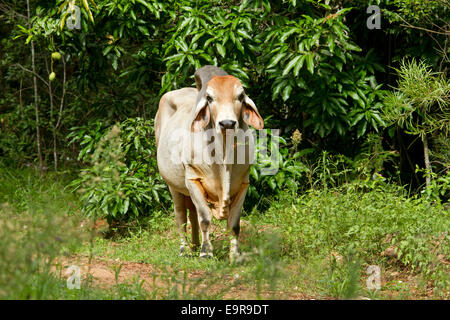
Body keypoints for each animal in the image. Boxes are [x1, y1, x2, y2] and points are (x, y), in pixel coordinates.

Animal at [156, 65, 264, 262]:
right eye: (210, 98)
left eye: (240, 96)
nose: (227, 123)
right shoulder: (192, 179)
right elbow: (205, 219)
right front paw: (206, 252)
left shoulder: (243, 184)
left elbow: (234, 224)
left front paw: (235, 255)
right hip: (174, 186)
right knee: (181, 216)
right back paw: (185, 249)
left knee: (192, 216)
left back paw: (194, 245)